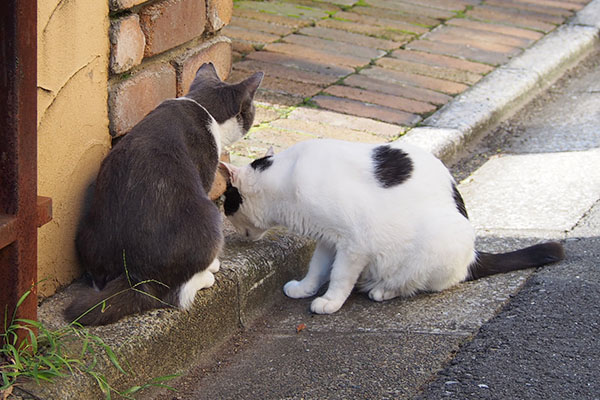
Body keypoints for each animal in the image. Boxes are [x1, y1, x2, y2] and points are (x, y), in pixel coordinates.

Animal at [65, 63, 262, 324]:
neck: (202, 107)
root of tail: (135, 277)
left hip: (87, 233)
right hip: (209, 218)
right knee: (175, 295)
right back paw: (207, 276)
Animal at [223, 139, 564, 314]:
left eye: (226, 203)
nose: (226, 220)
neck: (286, 182)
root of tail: (473, 257)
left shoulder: (354, 244)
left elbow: (339, 276)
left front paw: (330, 301)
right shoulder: (328, 239)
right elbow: (317, 267)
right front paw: (305, 288)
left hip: (436, 244)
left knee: (416, 282)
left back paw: (383, 290)